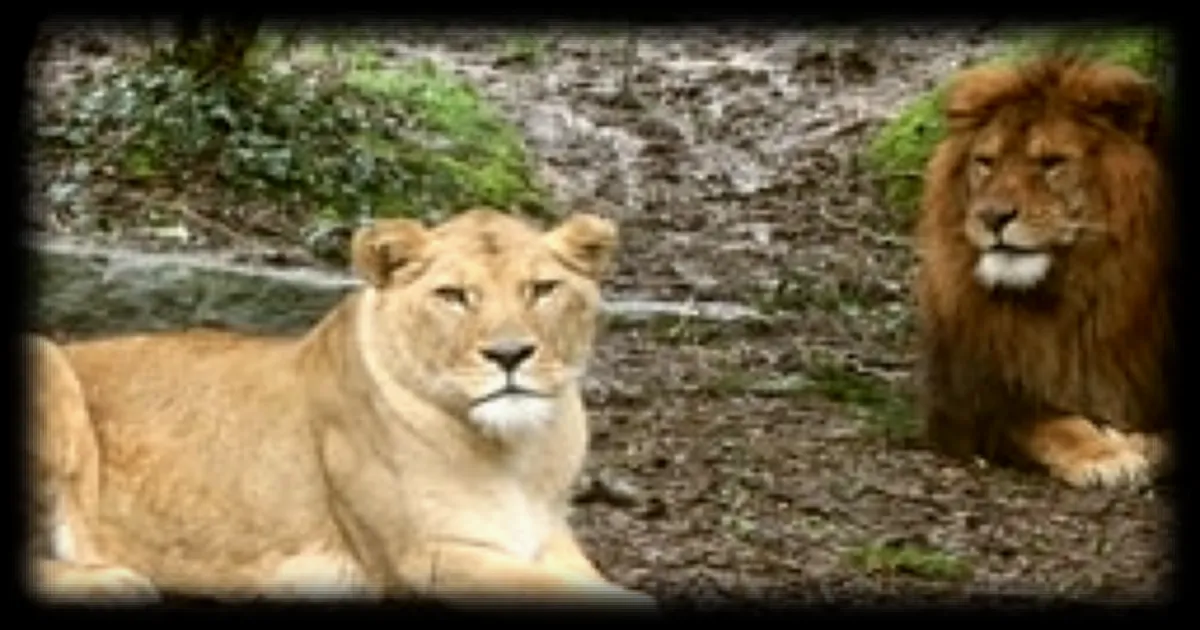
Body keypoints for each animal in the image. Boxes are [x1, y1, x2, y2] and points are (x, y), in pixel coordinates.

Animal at [27, 208, 656, 609]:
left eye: (543, 289)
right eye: (453, 296)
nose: (509, 355)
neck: (516, 452)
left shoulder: (548, 542)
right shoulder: (422, 557)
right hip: (46, 359)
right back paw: (114, 583)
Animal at [913, 56, 1175, 489]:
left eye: (1052, 163)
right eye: (985, 163)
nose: (992, 216)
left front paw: (1140, 444)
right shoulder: (966, 404)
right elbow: (1044, 423)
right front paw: (1105, 454)